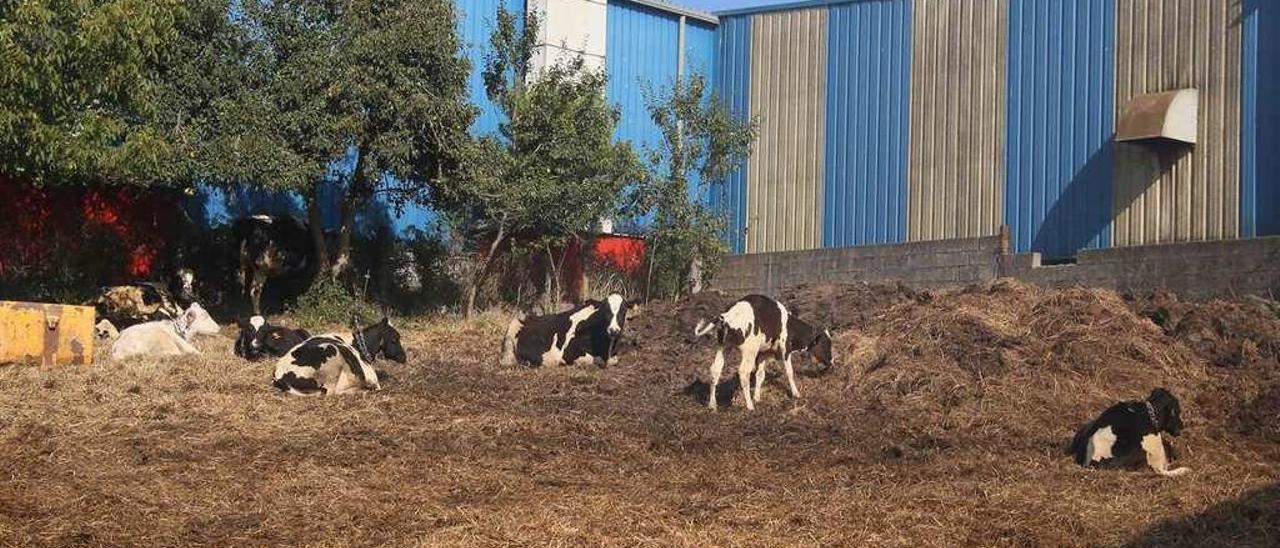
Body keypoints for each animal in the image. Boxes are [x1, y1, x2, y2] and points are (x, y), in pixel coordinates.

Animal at [504, 290, 634, 368]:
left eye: (624, 311)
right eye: (605, 310)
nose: (613, 330)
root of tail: (528, 317)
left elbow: (613, 360)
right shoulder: (568, 352)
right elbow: (591, 359)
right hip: (511, 333)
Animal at [696, 295, 834, 409]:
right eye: (826, 343)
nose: (832, 361)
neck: (788, 324)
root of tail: (726, 316)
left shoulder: (763, 353)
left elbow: (760, 375)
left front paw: (757, 397)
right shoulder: (785, 350)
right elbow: (790, 372)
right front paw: (796, 393)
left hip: (723, 346)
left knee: (715, 369)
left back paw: (712, 405)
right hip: (749, 351)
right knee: (743, 372)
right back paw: (749, 406)